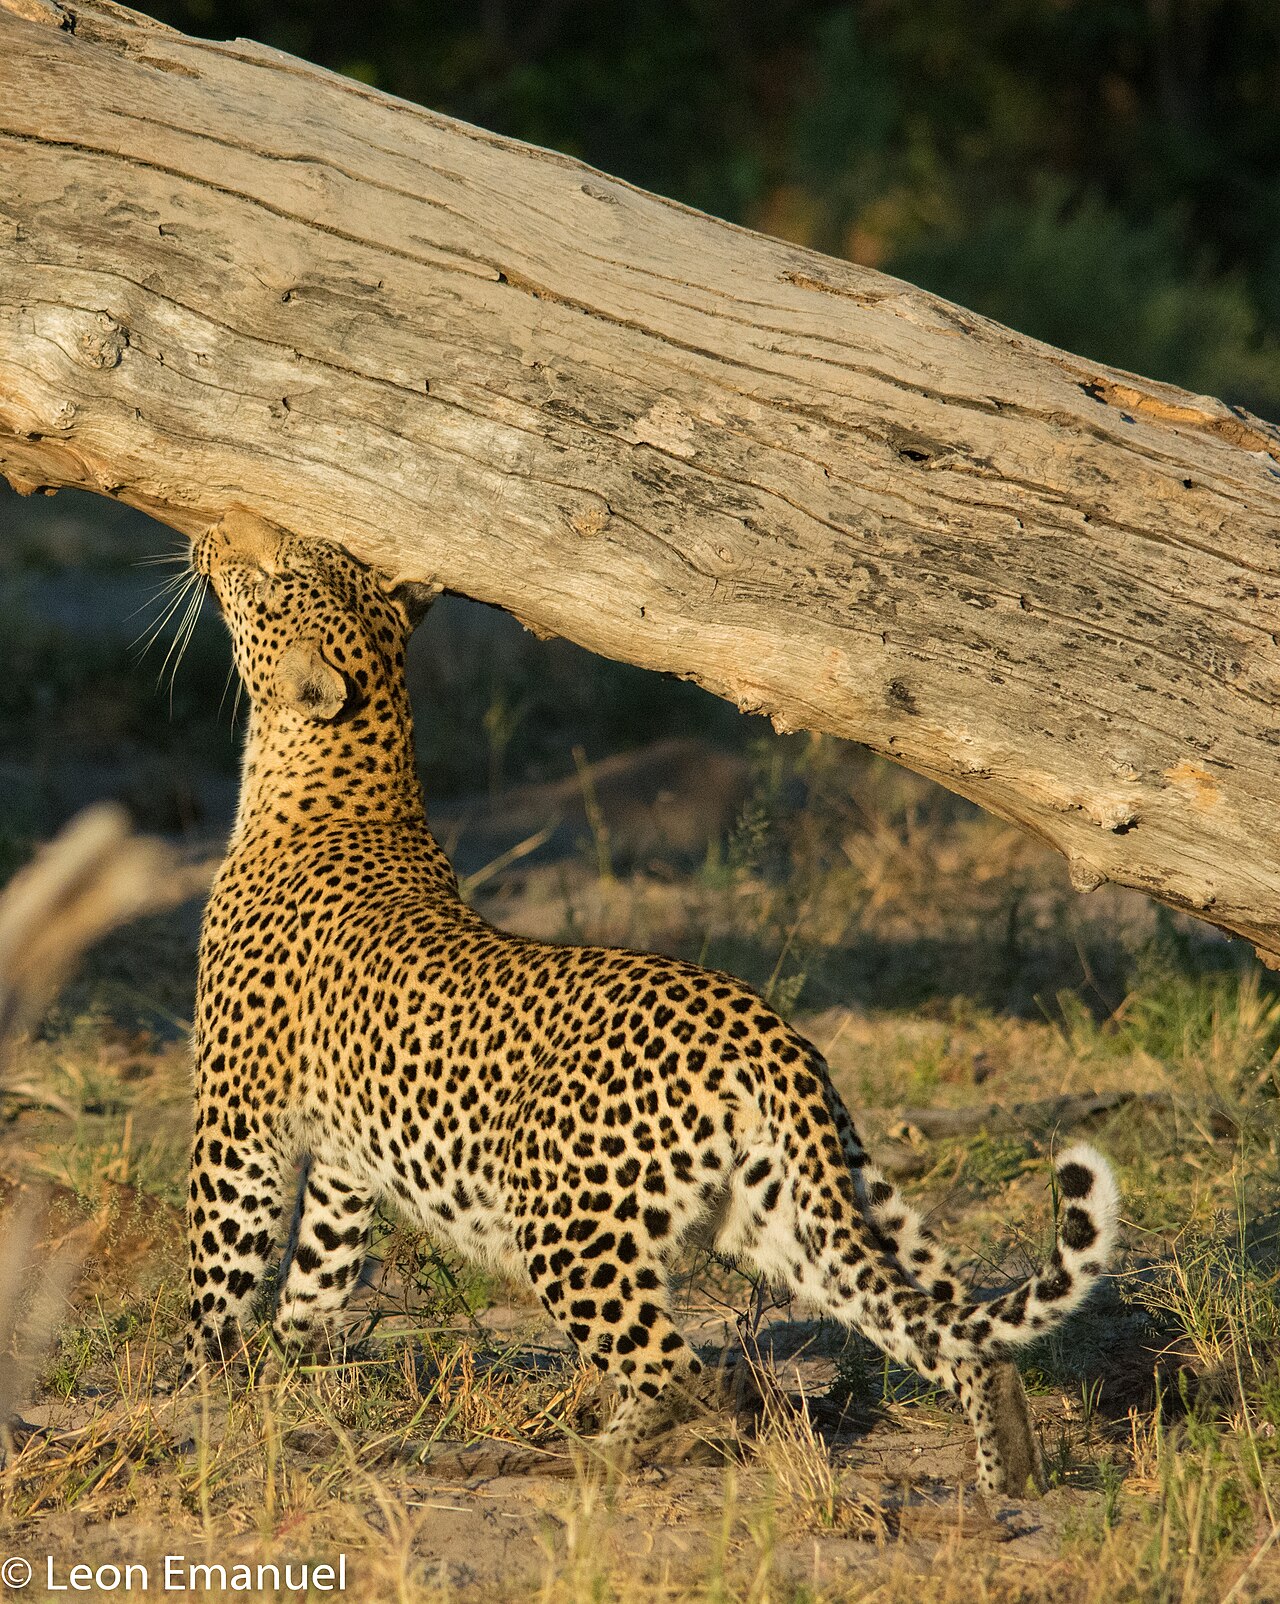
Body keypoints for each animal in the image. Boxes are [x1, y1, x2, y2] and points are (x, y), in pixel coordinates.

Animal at [183, 514, 1119, 1494]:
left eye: (271, 567)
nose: (212, 530)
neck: (348, 769)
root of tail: (769, 1032)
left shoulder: (237, 1117)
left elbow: (222, 1260)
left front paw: (199, 1384)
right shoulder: (340, 1153)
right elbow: (316, 1273)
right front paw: (288, 1374)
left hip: (571, 1220)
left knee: (683, 1375)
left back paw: (574, 1458)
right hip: (782, 1212)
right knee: (947, 1329)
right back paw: (1006, 1478)